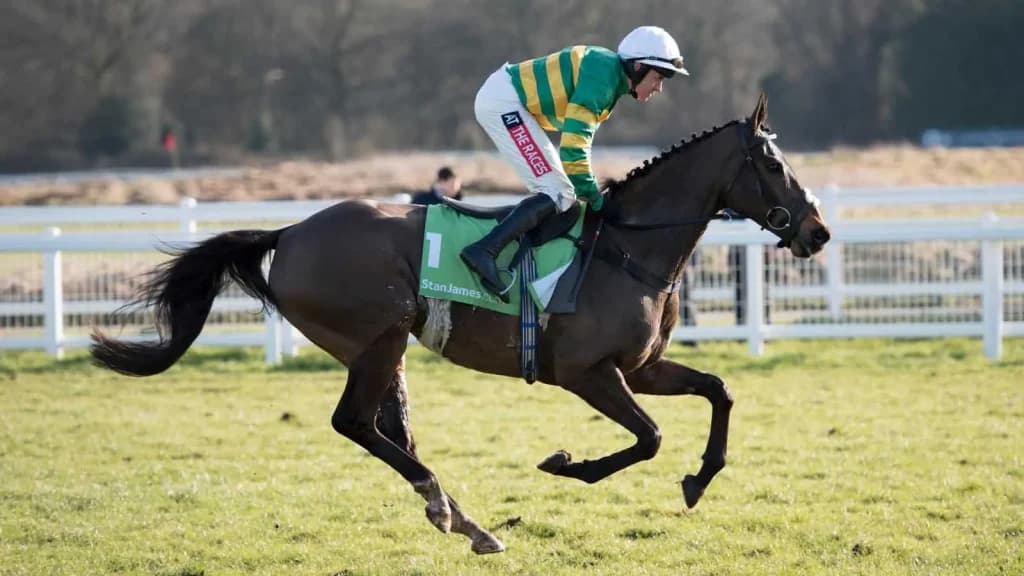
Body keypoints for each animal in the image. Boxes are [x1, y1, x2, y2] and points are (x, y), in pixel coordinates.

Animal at [91, 93, 831, 554]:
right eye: (772, 163)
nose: (818, 231)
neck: (628, 249)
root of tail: (290, 231)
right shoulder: (587, 373)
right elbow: (647, 438)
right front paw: (567, 465)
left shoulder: (641, 367)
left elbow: (718, 390)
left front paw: (701, 477)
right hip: (377, 337)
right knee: (355, 424)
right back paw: (449, 509)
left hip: (385, 348)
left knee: (392, 431)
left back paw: (464, 520)